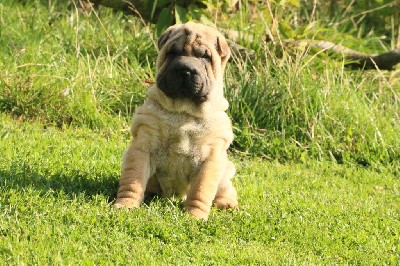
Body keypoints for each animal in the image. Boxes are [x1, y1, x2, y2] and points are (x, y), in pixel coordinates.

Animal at [112, 21, 238, 220]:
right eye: (172, 52)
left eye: (205, 57)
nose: (185, 70)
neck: (183, 111)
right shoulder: (143, 146)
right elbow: (133, 181)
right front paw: (126, 205)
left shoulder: (211, 158)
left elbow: (200, 190)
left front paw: (195, 216)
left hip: (225, 170)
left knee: (225, 189)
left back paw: (227, 204)